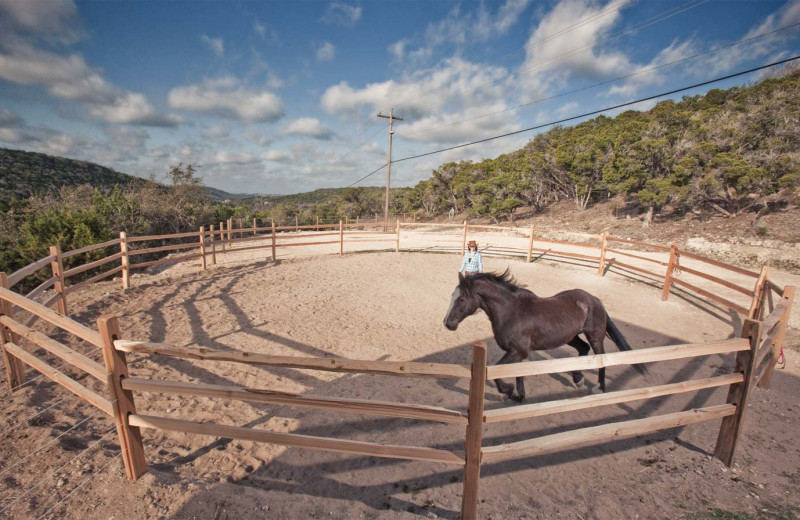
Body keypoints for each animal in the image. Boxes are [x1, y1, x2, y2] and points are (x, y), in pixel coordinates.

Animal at [440, 270, 648, 400]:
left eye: (462, 298)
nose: (447, 323)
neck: (512, 312)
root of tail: (595, 300)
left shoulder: (518, 352)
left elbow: (498, 372)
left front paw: (509, 391)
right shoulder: (517, 353)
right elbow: (517, 374)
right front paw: (518, 396)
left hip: (595, 336)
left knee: (600, 358)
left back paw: (599, 387)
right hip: (571, 337)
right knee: (583, 349)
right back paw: (578, 379)